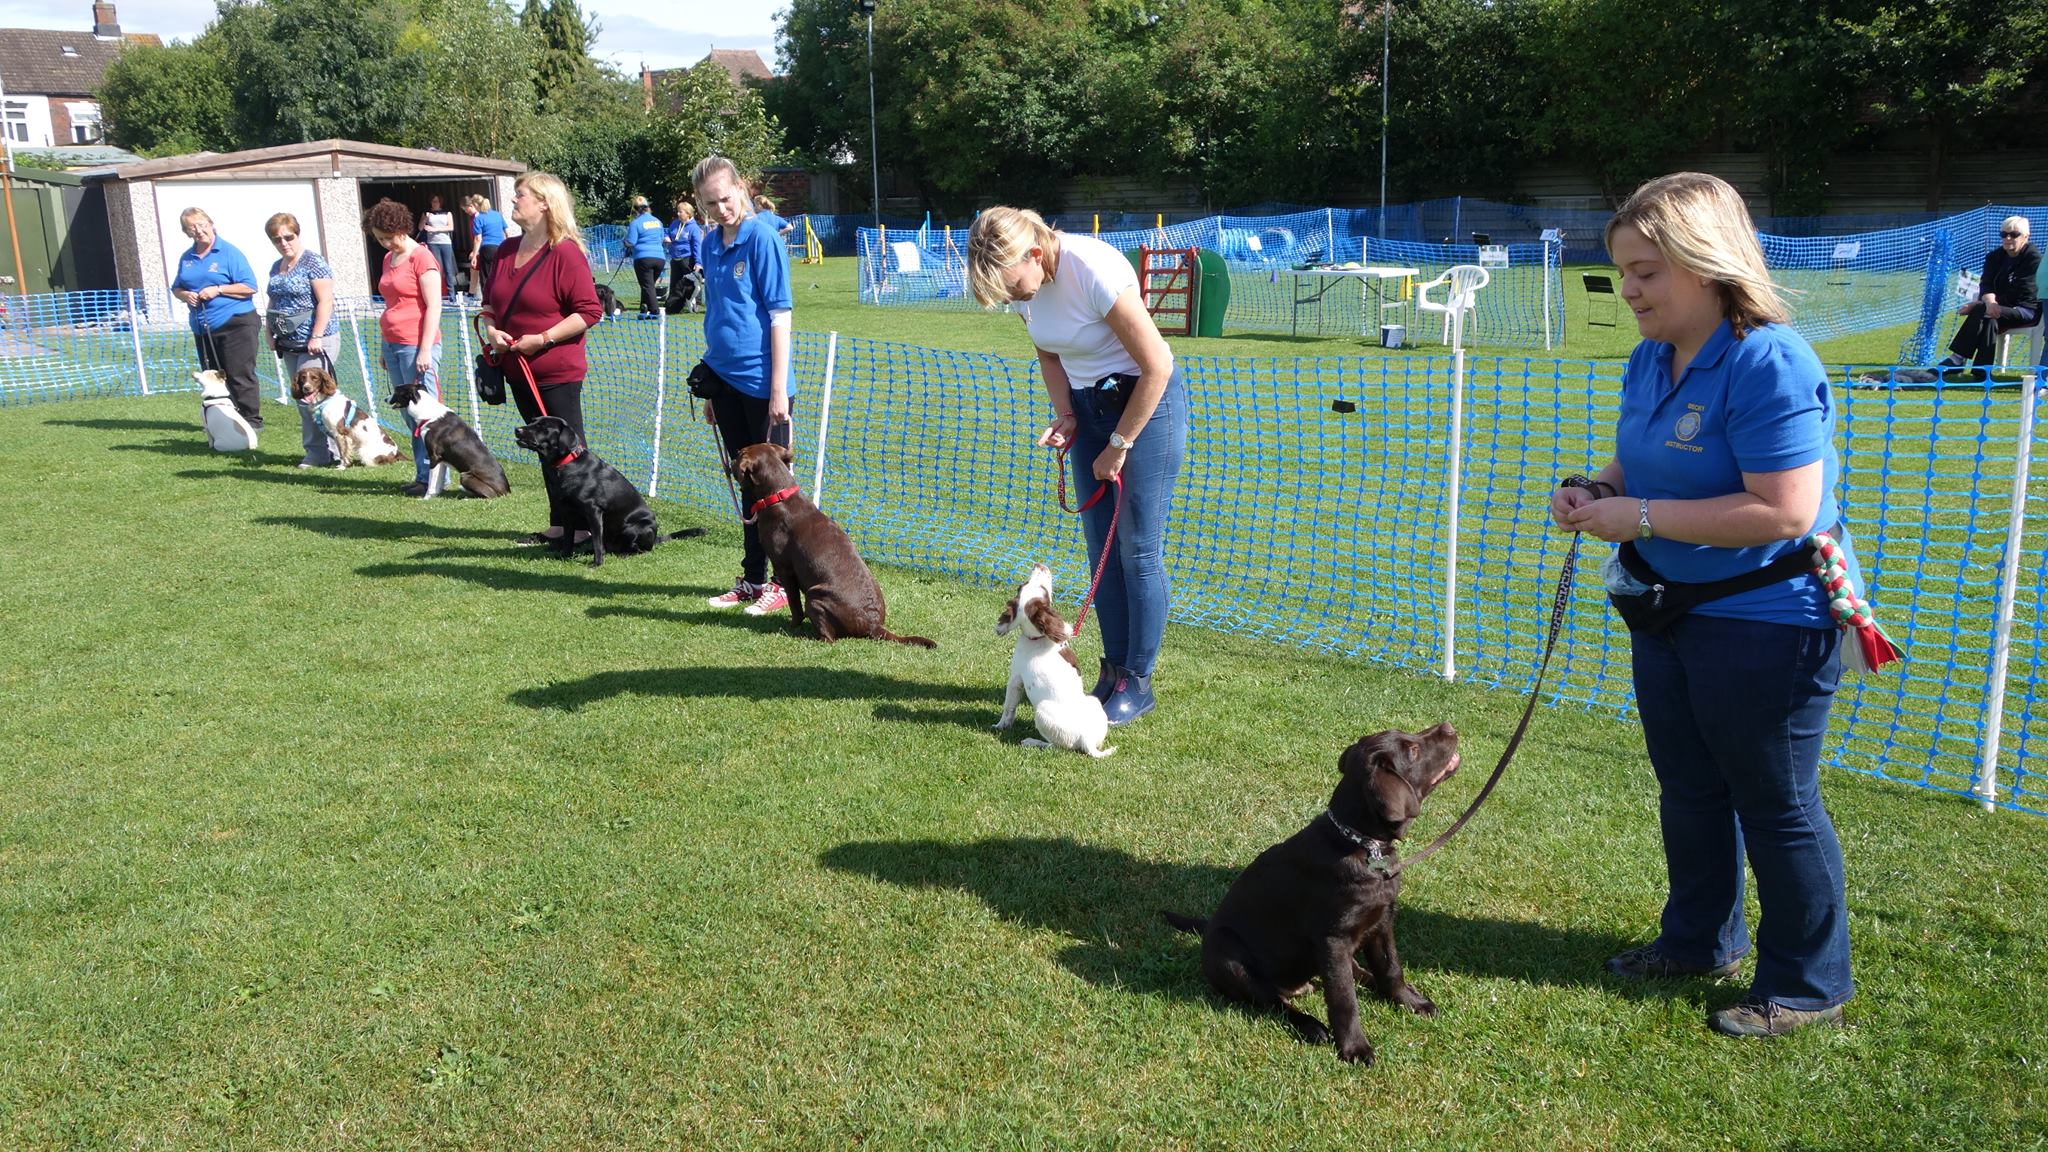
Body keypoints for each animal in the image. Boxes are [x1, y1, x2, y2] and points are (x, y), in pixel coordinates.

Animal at [512, 414, 704, 561]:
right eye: (532, 421)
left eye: (543, 427)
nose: (517, 429)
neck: (567, 464)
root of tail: (656, 538)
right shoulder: (567, 512)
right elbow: (568, 539)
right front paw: (564, 557)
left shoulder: (594, 511)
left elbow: (597, 541)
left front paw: (597, 563)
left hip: (636, 528)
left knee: (640, 550)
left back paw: (624, 554)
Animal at [995, 561, 1122, 754]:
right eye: (1023, 585)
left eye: (1041, 589)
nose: (1038, 564)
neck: (1037, 638)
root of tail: (1087, 740)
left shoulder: (1015, 678)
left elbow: (1009, 706)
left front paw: (1000, 726)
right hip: (1093, 701)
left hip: (1041, 711)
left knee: (1055, 746)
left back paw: (1032, 741)